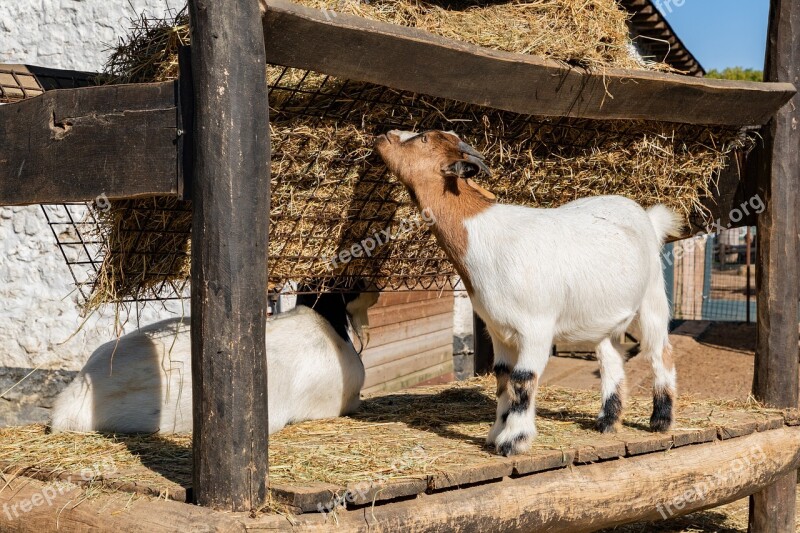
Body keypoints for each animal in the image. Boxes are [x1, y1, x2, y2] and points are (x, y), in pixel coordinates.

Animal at [376, 131, 680, 456]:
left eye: (423, 139)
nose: (384, 136)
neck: (484, 235)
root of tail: (647, 217)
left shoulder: (536, 327)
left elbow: (522, 380)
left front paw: (514, 441)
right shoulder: (498, 330)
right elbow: (502, 378)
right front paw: (495, 433)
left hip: (652, 296)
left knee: (660, 351)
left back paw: (661, 420)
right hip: (603, 317)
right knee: (611, 359)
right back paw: (607, 421)